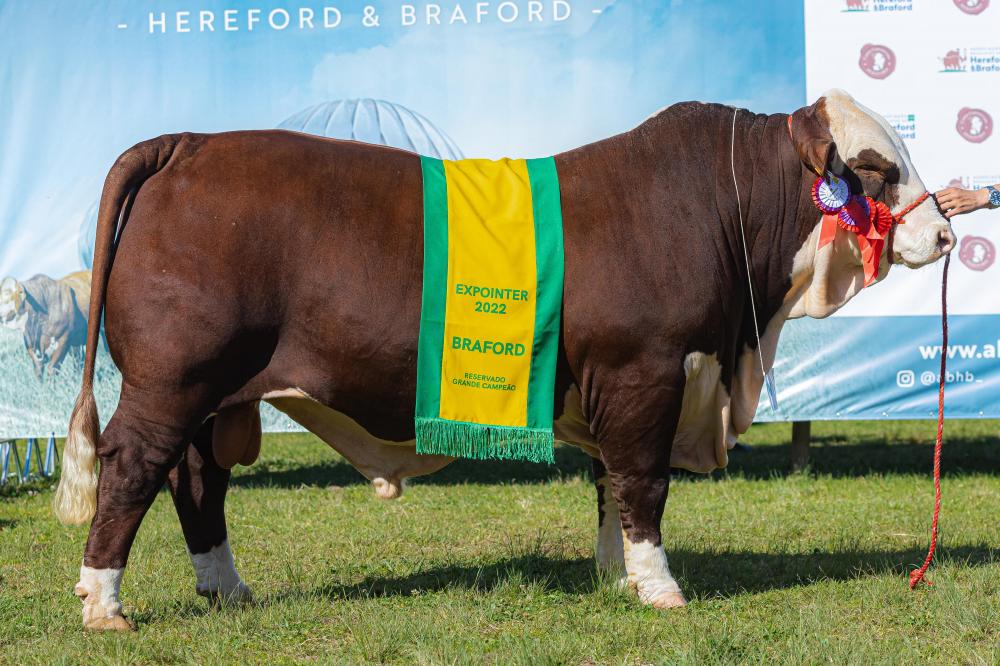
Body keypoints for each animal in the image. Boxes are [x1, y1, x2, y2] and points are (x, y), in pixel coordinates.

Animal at [52, 89, 952, 628]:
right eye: (875, 169)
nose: (945, 233)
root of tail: (189, 142)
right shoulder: (646, 370)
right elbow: (643, 482)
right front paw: (659, 586)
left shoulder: (614, 385)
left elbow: (609, 484)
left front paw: (614, 576)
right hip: (173, 378)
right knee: (135, 467)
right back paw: (102, 603)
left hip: (215, 392)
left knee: (197, 479)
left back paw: (226, 590)